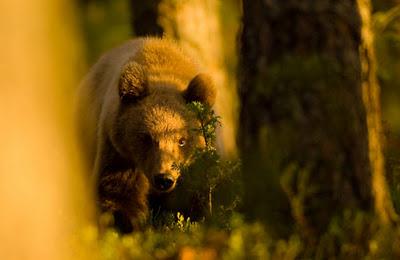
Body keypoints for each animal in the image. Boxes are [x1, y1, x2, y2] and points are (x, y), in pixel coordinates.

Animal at [76, 37, 217, 234]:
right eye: (146, 137)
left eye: (182, 140)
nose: (164, 179)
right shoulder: (119, 154)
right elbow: (117, 195)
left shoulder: (193, 166)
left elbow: (193, 200)